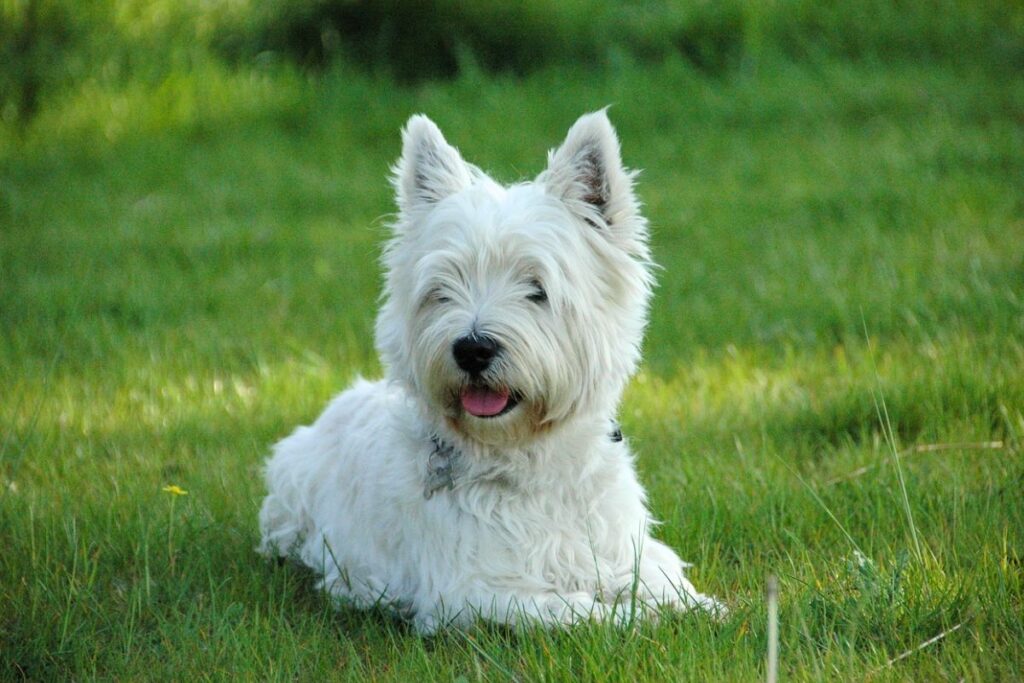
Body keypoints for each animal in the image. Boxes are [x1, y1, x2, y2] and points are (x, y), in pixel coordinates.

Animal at [256, 111, 720, 630]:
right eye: (442, 290)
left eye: (537, 288)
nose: (473, 349)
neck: (528, 462)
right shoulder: (473, 592)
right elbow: (572, 610)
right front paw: (632, 616)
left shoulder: (624, 548)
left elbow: (662, 579)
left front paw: (699, 606)